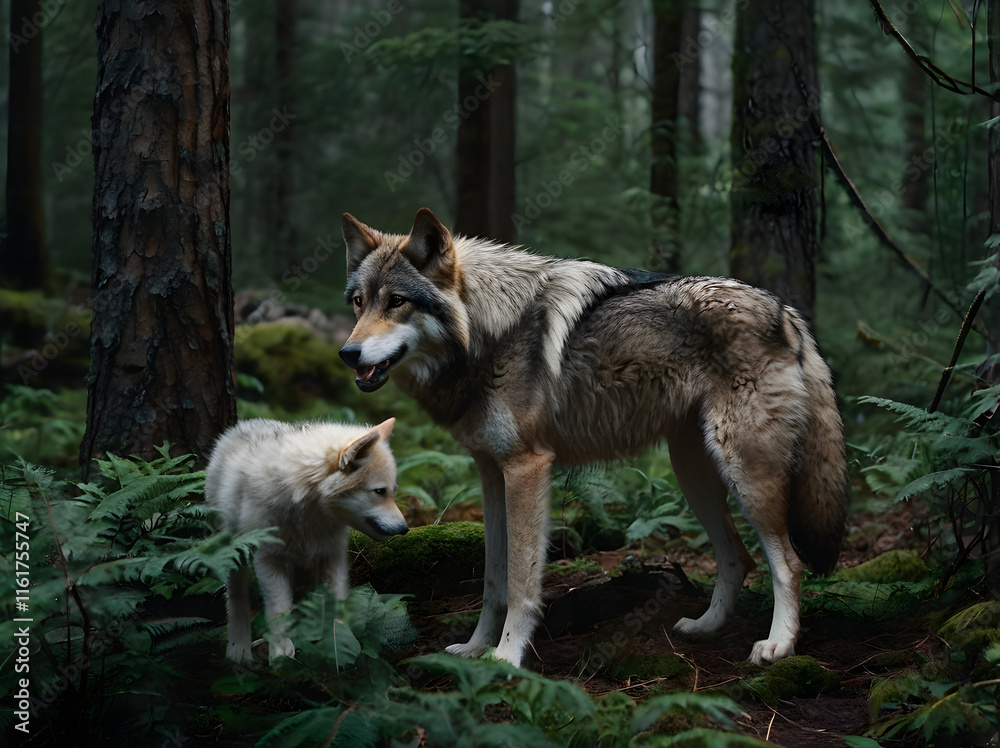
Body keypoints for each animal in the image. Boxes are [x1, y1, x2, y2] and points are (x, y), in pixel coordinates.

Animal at [205, 417, 407, 664]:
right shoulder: (270, 561)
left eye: (392, 492)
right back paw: (238, 650)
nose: (405, 529)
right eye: (379, 491)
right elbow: (279, 612)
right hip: (236, 554)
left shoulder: (333, 559)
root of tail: (241, 426)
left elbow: (337, 607)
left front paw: (340, 644)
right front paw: (281, 655)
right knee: (237, 598)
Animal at [338, 208, 848, 667]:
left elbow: (521, 584)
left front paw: (506, 658)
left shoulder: (526, 468)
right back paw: (705, 627)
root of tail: (786, 312)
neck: (489, 333)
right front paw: (476, 648)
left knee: (788, 563)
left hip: (745, 474)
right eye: (359, 302)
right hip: (694, 475)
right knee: (738, 558)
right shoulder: (491, 473)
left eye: (397, 301)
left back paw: (778, 645)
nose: (347, 353)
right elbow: (493, 581)